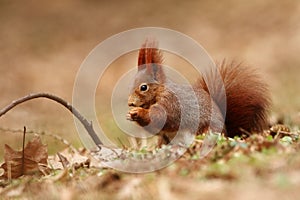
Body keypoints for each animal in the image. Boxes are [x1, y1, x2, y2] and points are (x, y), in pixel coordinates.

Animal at [125, 40, 270, 144]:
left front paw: (138, 112)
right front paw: (130, 115)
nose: (130, 103)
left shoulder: (172, 103)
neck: (160, 92)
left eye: (144, 87)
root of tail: (227, 133)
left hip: (207, 130)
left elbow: (161, 117)